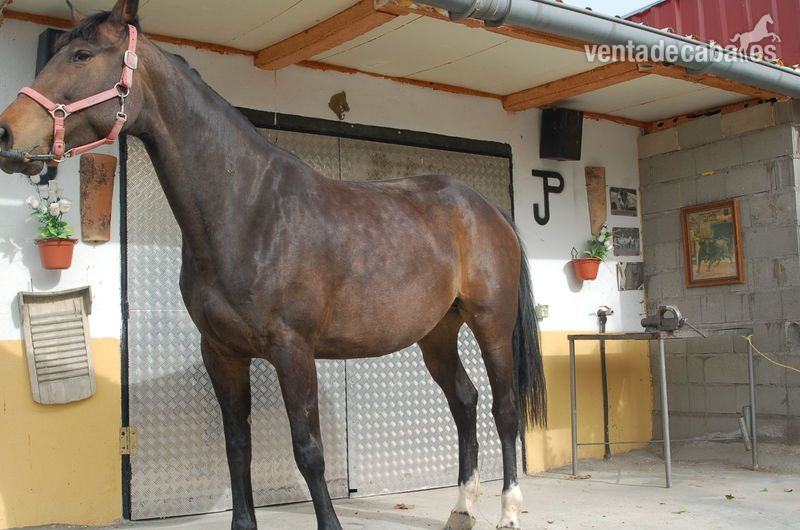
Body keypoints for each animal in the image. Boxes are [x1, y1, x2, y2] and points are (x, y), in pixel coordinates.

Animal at [0, 2, 546, 529]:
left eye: (82, 55)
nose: (6, 134)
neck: (249, 208)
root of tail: (486, 208)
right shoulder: (222, 354)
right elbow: (237, 448)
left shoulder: (293, 350)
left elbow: (309, 451)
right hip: (437, 332)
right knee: (464, 402)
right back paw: (462, 509)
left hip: (491, 324)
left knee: (504, 408)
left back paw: (509, 511)